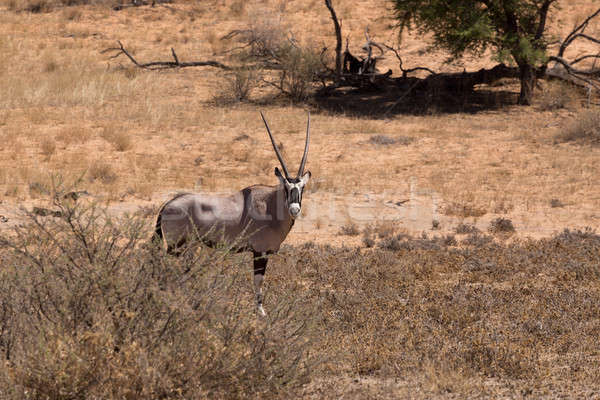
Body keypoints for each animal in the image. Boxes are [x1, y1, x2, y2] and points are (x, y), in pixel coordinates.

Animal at [152, 112, 312, 316]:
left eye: (302, 187)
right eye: (286, 187)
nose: (294, 209)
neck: (270, 205)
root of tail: (168, 205)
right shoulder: (259, 252)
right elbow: (258, 282)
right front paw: (261, 313)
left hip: (188, 246)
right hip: (175, 245)